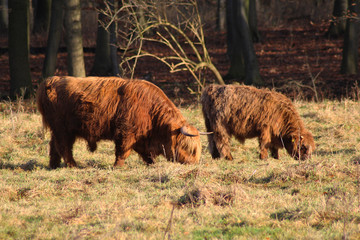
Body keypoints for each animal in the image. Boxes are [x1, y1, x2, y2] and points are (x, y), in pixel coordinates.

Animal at [37, 76, 201, 168]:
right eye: (188, 148)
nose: (194, 163)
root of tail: (53, 80)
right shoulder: (126, 132)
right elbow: (122, 151)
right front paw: (118, 167)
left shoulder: (141, 138)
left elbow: (146, 154)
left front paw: (152, 165)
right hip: (63, 129)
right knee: (64, 147)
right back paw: (72, 165)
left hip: (59, 130)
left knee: (54, 146)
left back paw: (53, 165)